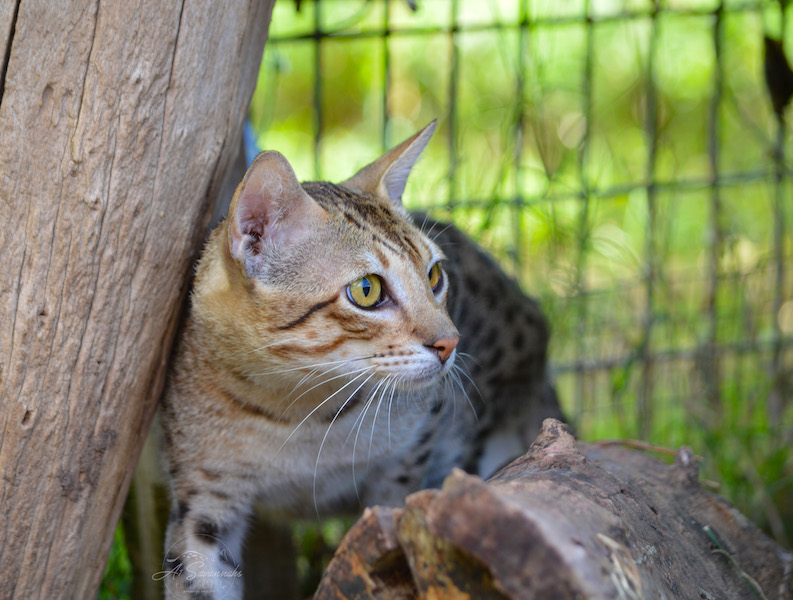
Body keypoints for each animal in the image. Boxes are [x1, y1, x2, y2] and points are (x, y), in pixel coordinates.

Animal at [158, 122, 560, 600]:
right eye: (367, 290)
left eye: (435, 276)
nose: (450, 342)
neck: (299, 414)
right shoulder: (202, 500)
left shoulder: (405, 463)